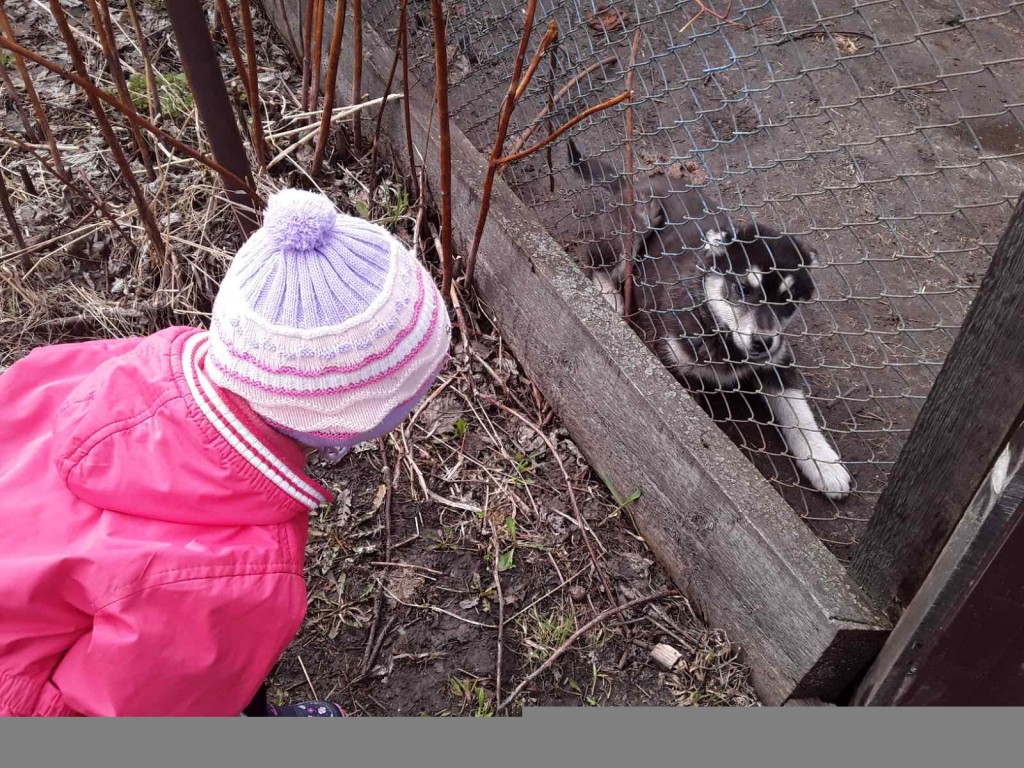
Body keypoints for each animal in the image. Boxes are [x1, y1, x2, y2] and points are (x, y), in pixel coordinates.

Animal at [567, 139, 852, 500]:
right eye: (743, 288)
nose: (763, 341)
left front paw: (825, 465)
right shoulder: (672, 358)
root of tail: (633, 181)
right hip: (638, 221)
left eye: (786, 300)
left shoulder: (778, 361)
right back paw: (610, 297)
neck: (720, 329)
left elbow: (799, 413)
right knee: (592, 258)